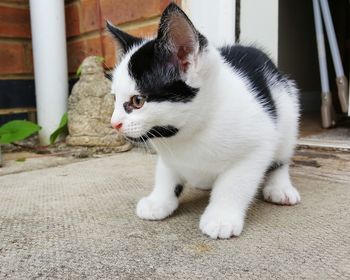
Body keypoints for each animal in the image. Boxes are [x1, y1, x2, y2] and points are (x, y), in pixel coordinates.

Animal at [107, 3, 300, 238]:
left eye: (137, 101)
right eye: (115, 99)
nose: (114, 123)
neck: (191, 133)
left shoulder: (256, 144)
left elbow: (234, 183)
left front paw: (221, 217)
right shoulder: (170, 154)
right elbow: (166, 174)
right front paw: (159, 201)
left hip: (287, 109)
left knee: (281, 156)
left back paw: (280, 187)